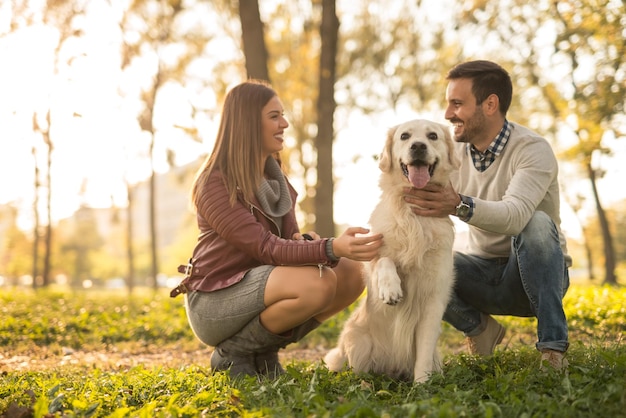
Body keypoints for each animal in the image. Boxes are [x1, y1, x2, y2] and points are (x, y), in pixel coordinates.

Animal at [324, 119, 456, 384]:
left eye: (432, 136)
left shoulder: (434, 297)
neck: (412, 212)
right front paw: (391, 290)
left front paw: (422, 385)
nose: (418, 146)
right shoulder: (373, 251)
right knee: (357, 371)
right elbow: (385, 260)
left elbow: (423, 353)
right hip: (356, 338)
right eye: (405, 136)